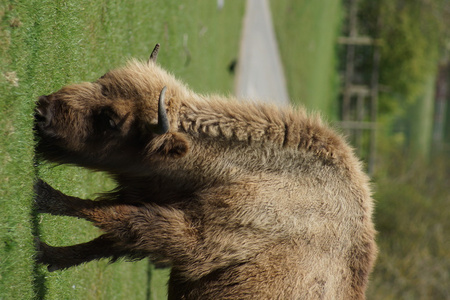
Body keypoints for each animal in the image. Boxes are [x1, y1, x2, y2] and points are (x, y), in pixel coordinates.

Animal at [34, 44, 376, 300]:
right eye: (102, 78)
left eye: (110, 120)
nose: (42, 112)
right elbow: (107, 239)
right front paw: (47, 255)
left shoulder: (198, 237)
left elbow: (112, 218)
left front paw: (42, 198)